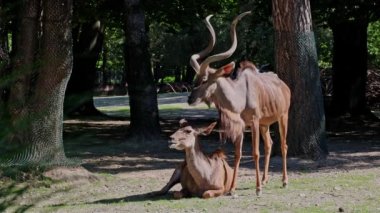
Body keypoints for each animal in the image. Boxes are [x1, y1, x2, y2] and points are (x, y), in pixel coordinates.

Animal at [189, 11, 292, 195]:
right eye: (195, 78)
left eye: (205, 80)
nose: (190, 99)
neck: (241, 96)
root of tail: (284, 86)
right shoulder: (243, 125)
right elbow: (238, 153)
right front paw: (232, 189)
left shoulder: (254, 122)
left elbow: (255, 152)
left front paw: (257, 189)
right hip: (265, 125)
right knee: (269, 145)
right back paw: (265, 179)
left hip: (282, 117)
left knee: (283, 145)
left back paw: (284, 181)